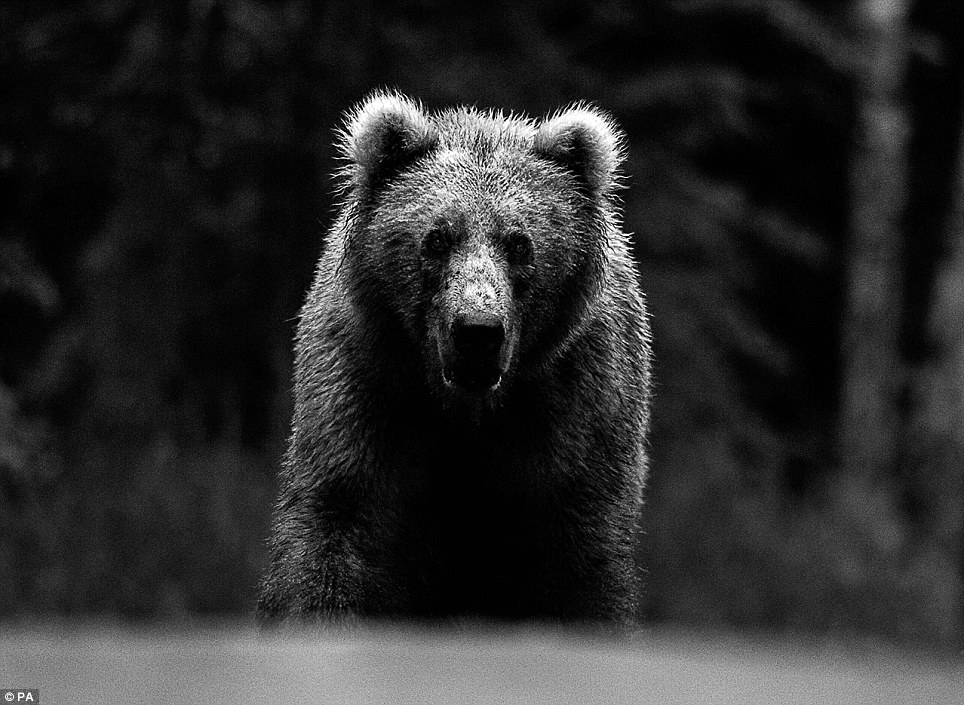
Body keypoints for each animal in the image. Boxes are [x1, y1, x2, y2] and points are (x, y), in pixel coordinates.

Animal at [256, 92, 652, 628]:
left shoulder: (573, 410)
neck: (466, 411)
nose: (477, 331)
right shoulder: (369, 389)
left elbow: (579, 567)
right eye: (437, 238)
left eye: (519, 242)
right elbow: (334, 536)